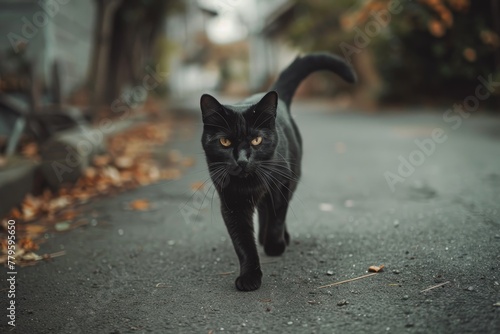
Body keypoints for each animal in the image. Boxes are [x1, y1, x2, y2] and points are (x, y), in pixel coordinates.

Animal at [199, 52, 356, 290]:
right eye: (225, 142)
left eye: (256, 140)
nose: (242, 159)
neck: (249, 183)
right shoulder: (231, 202)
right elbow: (242, 241)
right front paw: (250, 276)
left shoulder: (281, 184)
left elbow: (277, 216)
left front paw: (274, 246)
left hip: (293, 176)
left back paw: (277, 238)